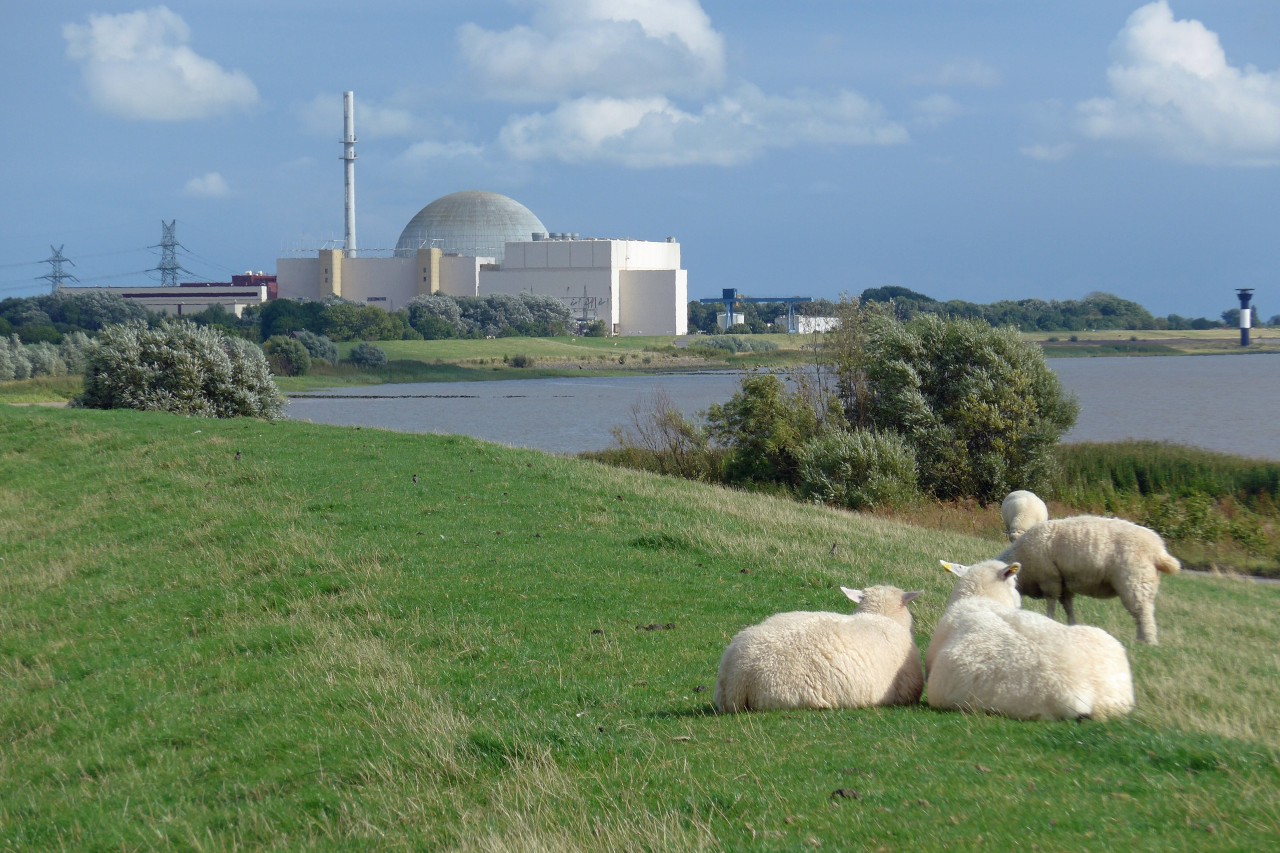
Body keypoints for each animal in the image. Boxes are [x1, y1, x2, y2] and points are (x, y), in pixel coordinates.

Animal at [998, 512, 1177, 645]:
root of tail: (1158, 551)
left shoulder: (1050, 580)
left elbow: (1051, 604)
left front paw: (1049, 620)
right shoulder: (1064, 584)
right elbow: (1068, 606)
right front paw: (1072, 624)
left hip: (1135, 581)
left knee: (1143, 613)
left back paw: (1147, 643)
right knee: (1142, 613)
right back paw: (1141, 640)